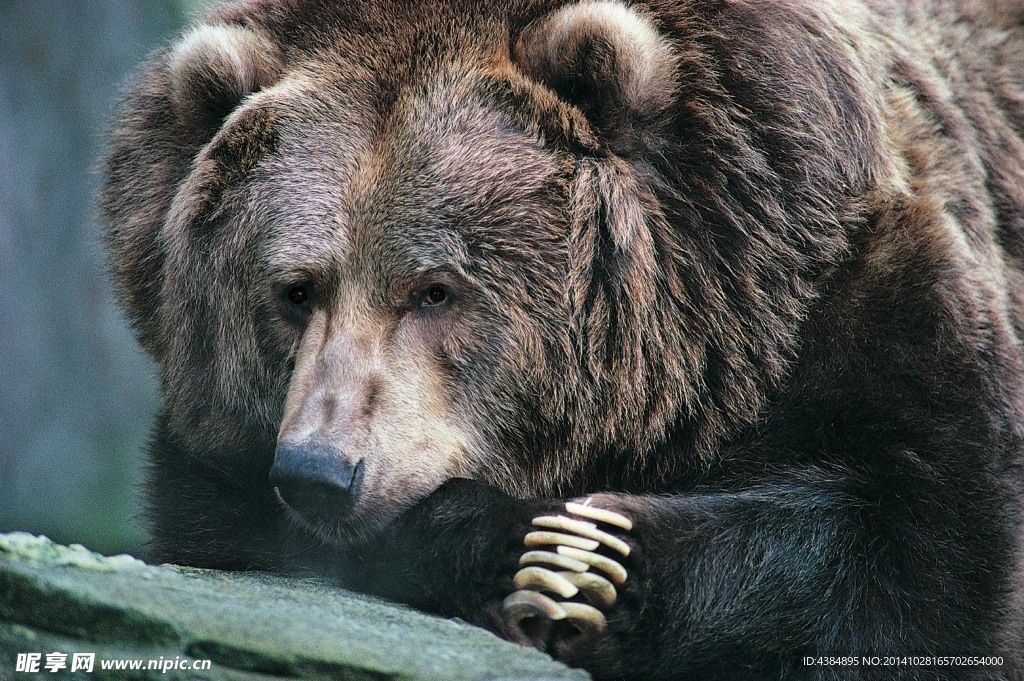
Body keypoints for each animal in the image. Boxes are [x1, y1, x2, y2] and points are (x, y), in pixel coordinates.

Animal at [99, 0, 1024, 679]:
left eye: (435, 289)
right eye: (296, 288)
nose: (321, 470)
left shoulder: (851, 282)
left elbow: (916, 545)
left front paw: (598, 562)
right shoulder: (218, 442)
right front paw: (530, 553)